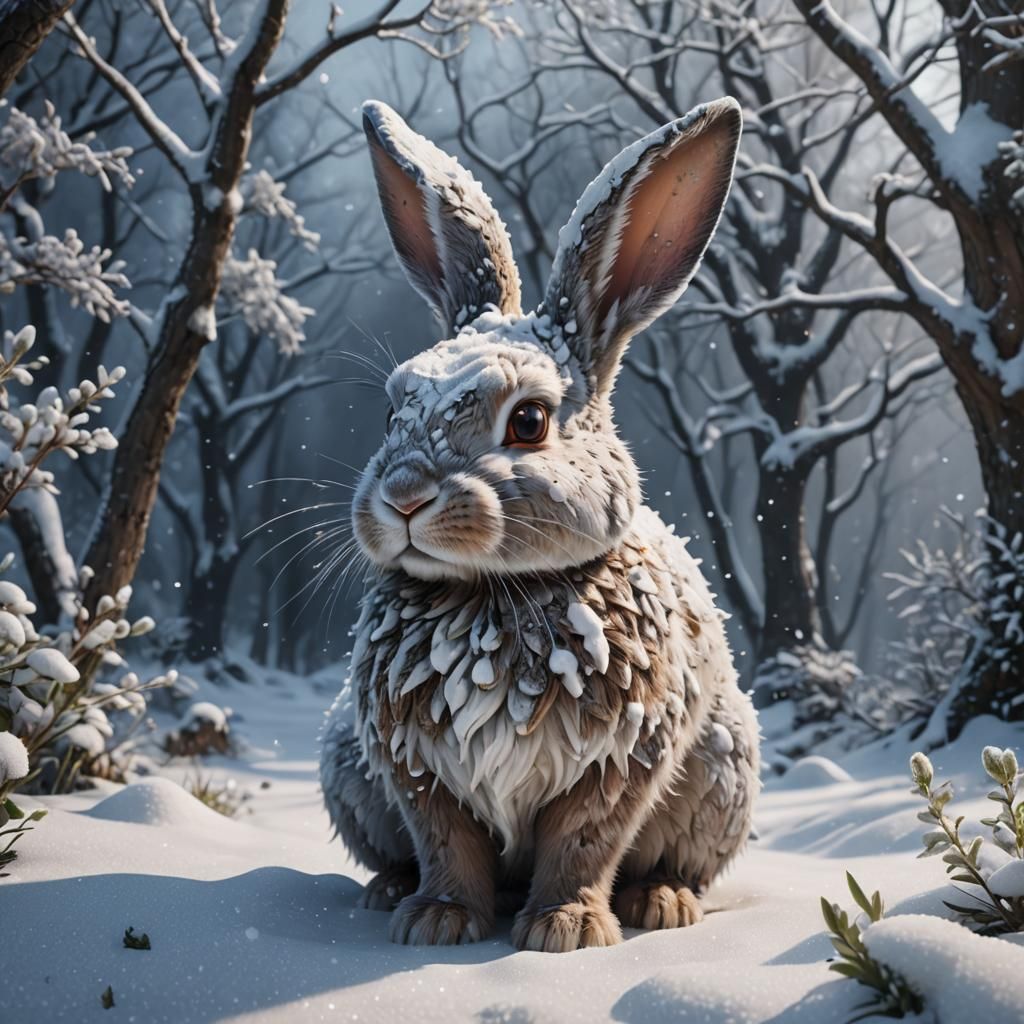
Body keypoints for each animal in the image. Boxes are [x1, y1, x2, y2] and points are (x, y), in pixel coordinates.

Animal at [319, 96, 760, 953]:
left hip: (723, 771)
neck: (490, 595)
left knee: (678, 862)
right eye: (392, 412)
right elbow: (445, 842)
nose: (403, 496)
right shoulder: (417, 769)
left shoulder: (619, 762)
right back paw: (388, 893)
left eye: (528, 422)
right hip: (344, 763)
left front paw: (566, 931)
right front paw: (438, 922)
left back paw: (663, 903)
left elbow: (583, 843)